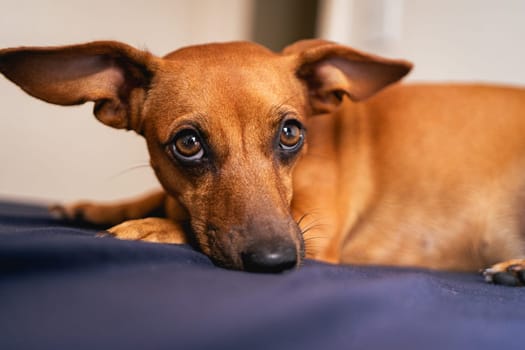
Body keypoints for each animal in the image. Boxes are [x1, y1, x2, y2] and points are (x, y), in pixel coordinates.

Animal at [0, 39, 520, 284]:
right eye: (188, 143)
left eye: (291, 133)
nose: (276, 261)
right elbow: (158, 198)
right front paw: (99, 208)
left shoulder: (317, 237)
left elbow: (185, 226)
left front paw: (150, 227)